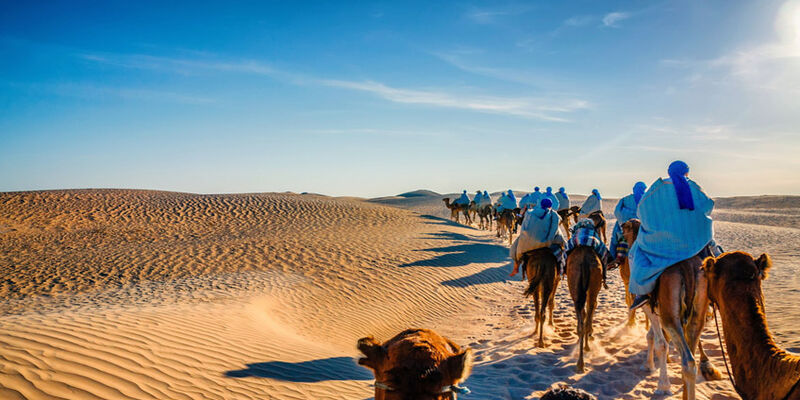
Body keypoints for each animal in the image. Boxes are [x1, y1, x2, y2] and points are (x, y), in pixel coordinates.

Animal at [564, 245, 604, 374]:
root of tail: (585, 261)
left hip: (576, 287)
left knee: (583, 318)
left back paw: (580, 363)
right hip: (592, 284)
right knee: (588, 311)